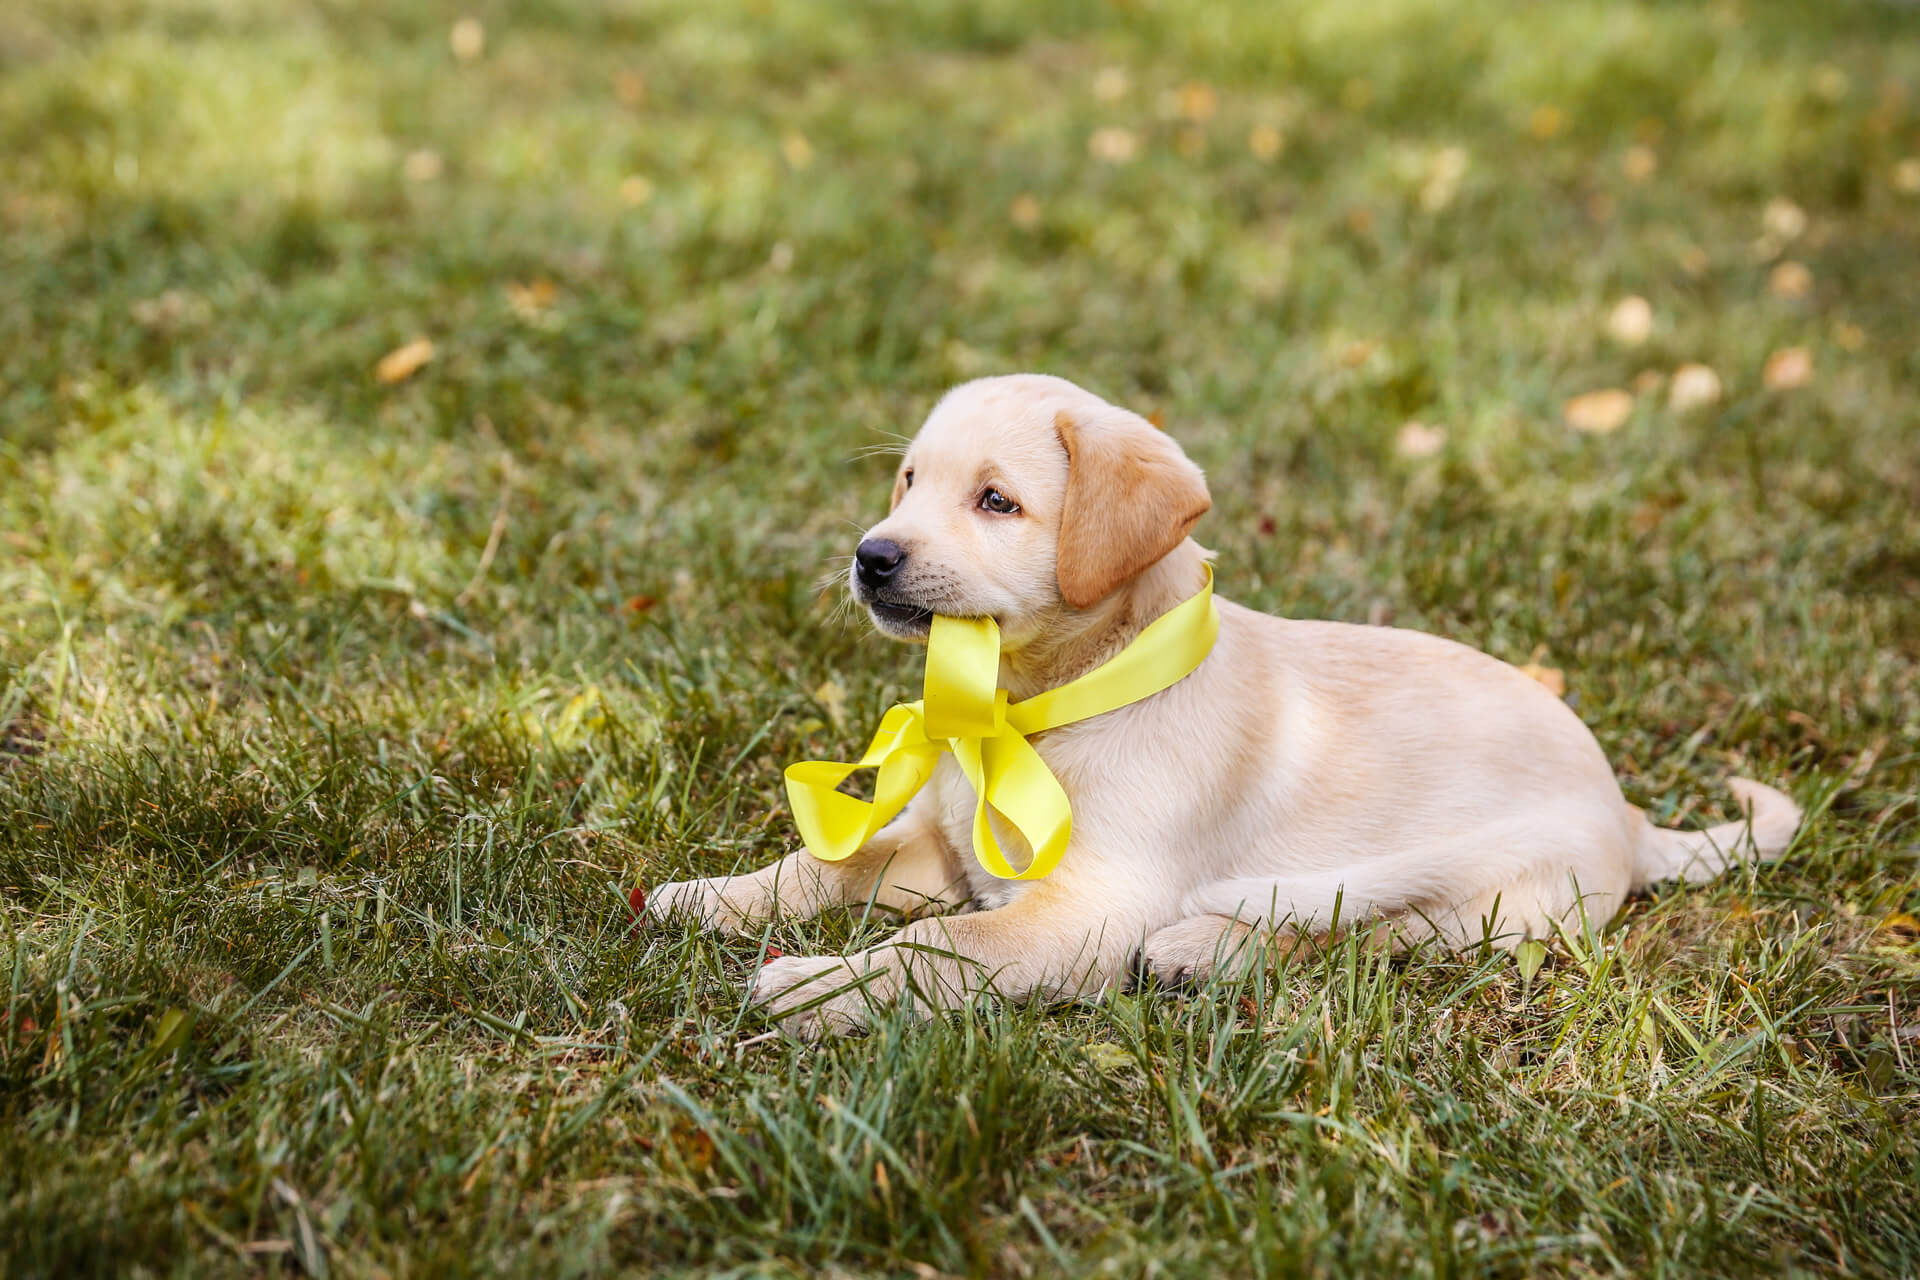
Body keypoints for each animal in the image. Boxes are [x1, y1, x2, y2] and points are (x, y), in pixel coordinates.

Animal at [648, 376, 1797, 1036]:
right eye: (908, 482)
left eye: (996, 501)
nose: (870, 557)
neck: (1039, 708)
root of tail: (1630, 816)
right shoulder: (941, 851)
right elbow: (828, 862)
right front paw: (713, 896)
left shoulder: (1083, 912)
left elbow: (941, 949)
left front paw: (818, 989)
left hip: (1488, 902)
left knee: (1358, 940)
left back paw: (1201, 948)